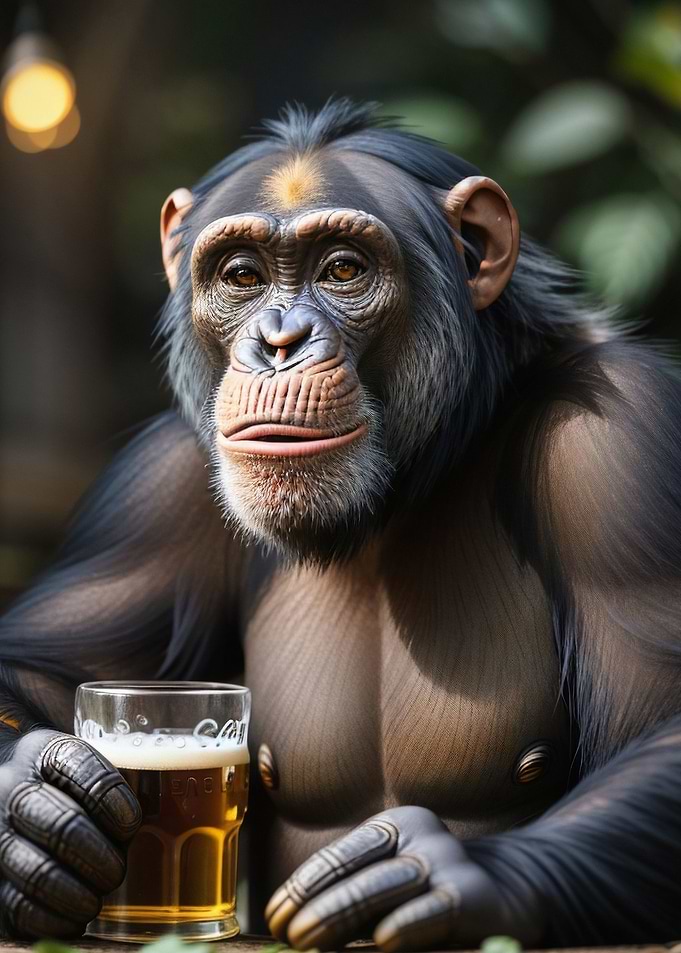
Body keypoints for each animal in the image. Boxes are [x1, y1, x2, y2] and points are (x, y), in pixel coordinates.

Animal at [1, 98, 681, 950]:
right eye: (243, 276)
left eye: (343, 270)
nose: (279, 340)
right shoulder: (152, 491)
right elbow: (36, 666)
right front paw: (32, 805)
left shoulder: (625, 445)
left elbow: (662, 726)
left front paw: (437, 871)